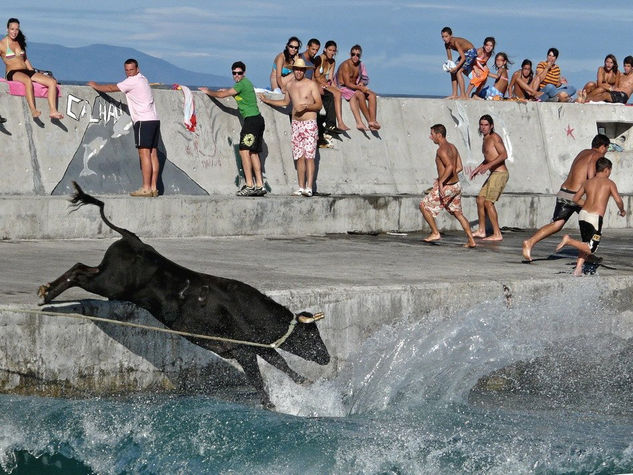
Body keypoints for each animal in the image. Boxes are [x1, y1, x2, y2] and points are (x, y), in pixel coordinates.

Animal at [37, 182, 330, 410]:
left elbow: (279, 362)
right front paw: (272, 402)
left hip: (105, 276)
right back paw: (47, 294)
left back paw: (47, 292)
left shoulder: (256, 347)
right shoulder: (243, 349)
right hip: (110, 283)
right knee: (78, 272)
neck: (249, 309)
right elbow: (261, 375)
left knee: (81, 267)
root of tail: (134, 240)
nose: (326, 358)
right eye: (311, 334)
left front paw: (305, 383)